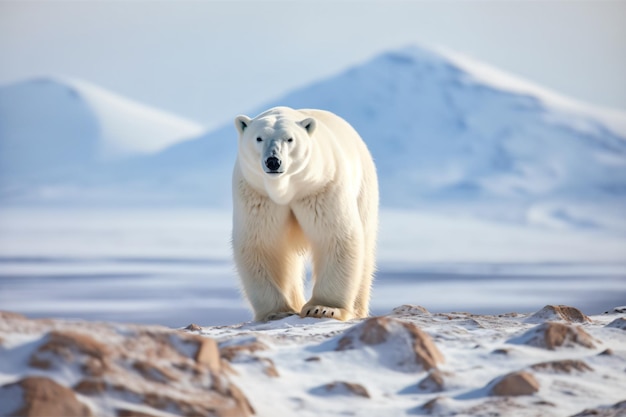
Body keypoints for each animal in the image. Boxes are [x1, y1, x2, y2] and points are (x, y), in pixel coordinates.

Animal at [229, 105, 376, 320]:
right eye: (259, 138)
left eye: (289, 139)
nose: (273, 161)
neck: (286, 190)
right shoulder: (257, 196)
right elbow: (262, 243)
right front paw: (277, 312)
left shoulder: (321, 188)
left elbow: (334, 236)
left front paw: (323, 308)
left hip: (364, 187)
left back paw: (357, 310)